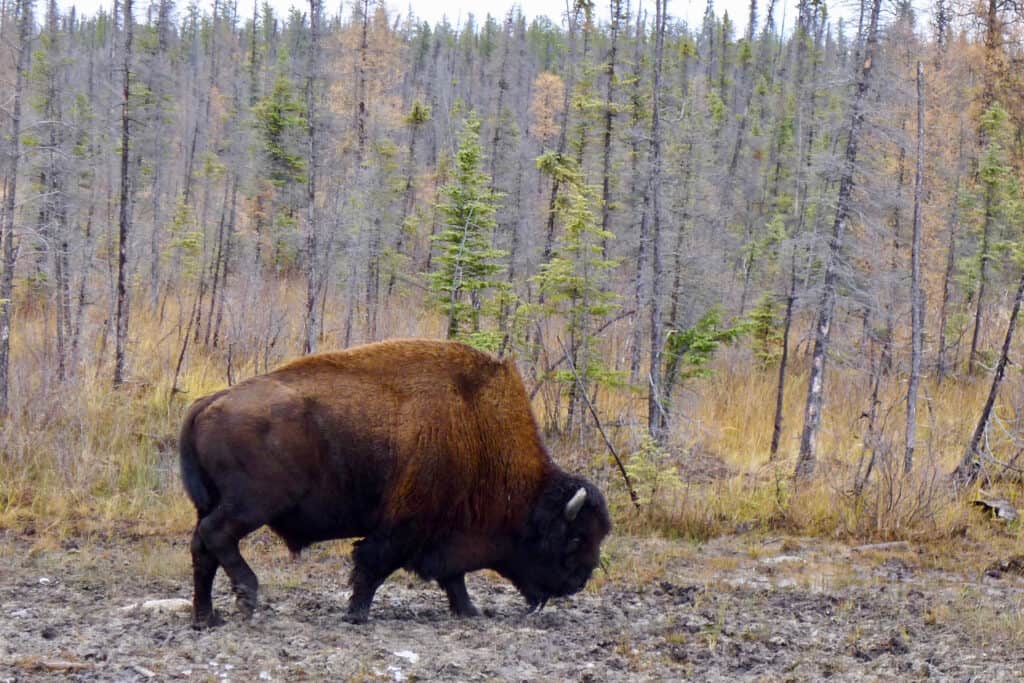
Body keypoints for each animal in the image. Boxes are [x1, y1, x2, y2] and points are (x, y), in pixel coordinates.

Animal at [178, 339, 606, 626]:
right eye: (573, 538)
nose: (579, 581)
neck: (479, 434)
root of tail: (210, 401)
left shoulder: (441, 531)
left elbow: (452, 576)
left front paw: (470, 611)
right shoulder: (407, 525)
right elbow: (375, 563)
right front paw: (356, 614)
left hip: (216, 503)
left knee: (202, 547)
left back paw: (206, 618)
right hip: (254, 503)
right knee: (216, 536)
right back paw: (247, 597)